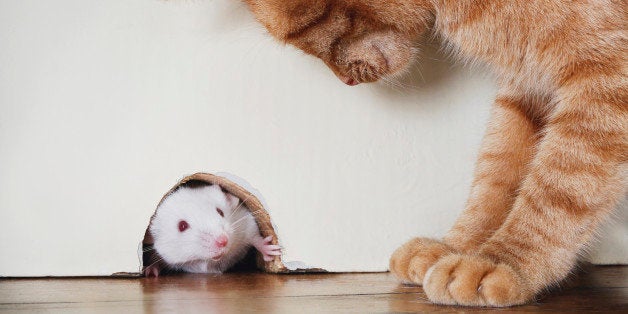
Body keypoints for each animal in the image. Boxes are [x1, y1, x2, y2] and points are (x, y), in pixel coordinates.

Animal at [243, 0, 624, 306]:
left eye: (309, 30)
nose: (346, 81)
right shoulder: (526, 90)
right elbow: (496, 178)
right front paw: (458, 247)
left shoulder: (605, 84)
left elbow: (558, 189)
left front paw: (504, 262)